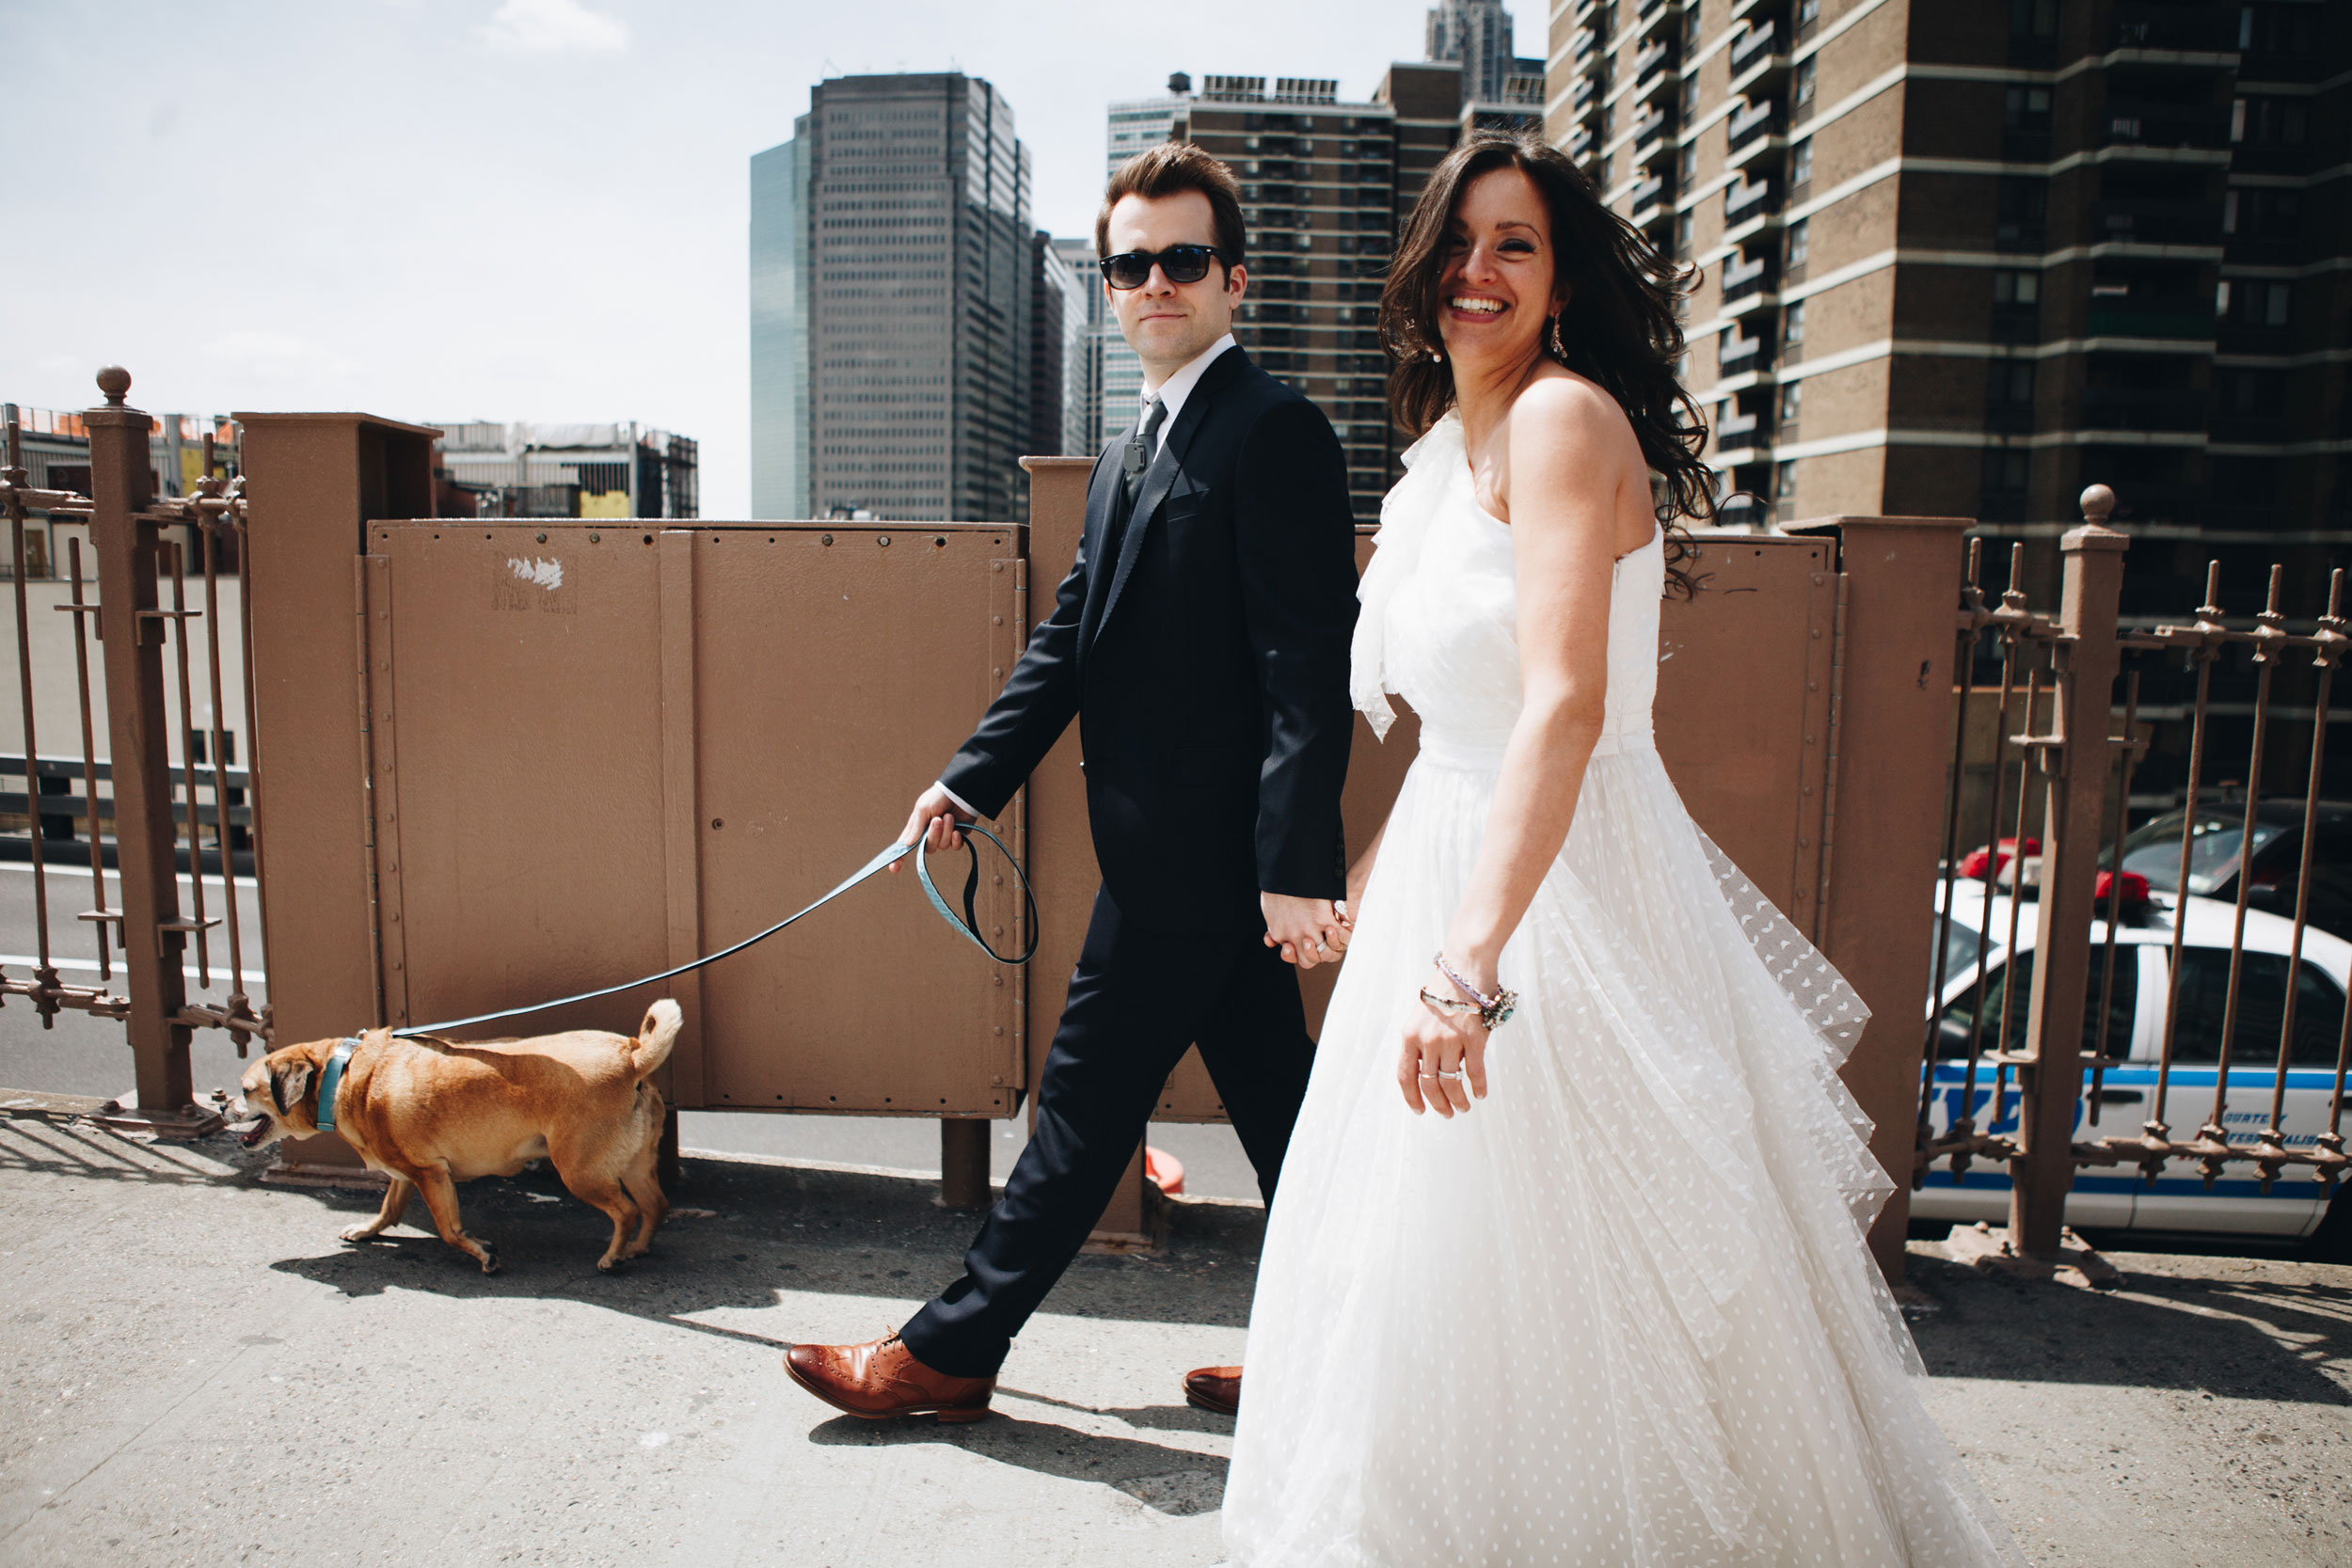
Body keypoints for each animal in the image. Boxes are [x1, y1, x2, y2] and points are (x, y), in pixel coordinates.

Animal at [235, 1006, 682, 1278]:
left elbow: (449, 1230)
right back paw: (637, 1248)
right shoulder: (407, 1172)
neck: (341, 1074)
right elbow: (388, 1207)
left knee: (626, 1210)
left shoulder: (431, 1174)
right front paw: (368, 1229)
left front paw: (482, 1253)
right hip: (634, 1167)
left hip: (580, 1173)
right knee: (655, 1205)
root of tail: (633, 1057)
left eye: (246, 1090)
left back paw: (613, 1256)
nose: (224, 1104)